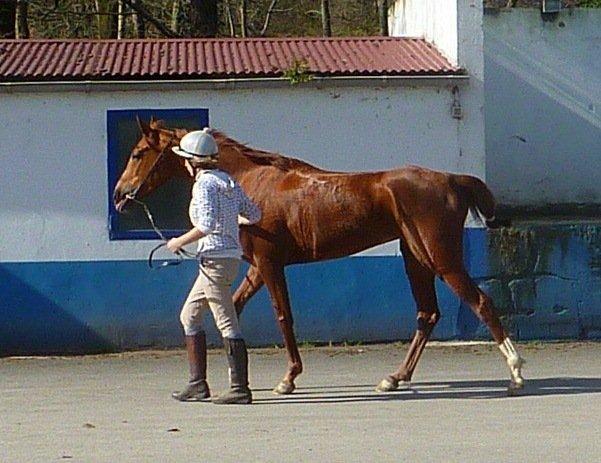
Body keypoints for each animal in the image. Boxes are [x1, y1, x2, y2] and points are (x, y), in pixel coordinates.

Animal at [113, 118, 524, 396]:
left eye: (137, 153)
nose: (119, 196)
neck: (249, 182)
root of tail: (452, 179)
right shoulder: (257, 269)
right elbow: (233, 309)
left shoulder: (269, 264)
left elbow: (283, 317)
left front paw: (288, 378)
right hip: (416, 259)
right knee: (428, 314)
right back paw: (395, 378)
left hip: (441, 258)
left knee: (481, 303)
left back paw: (516, 372)